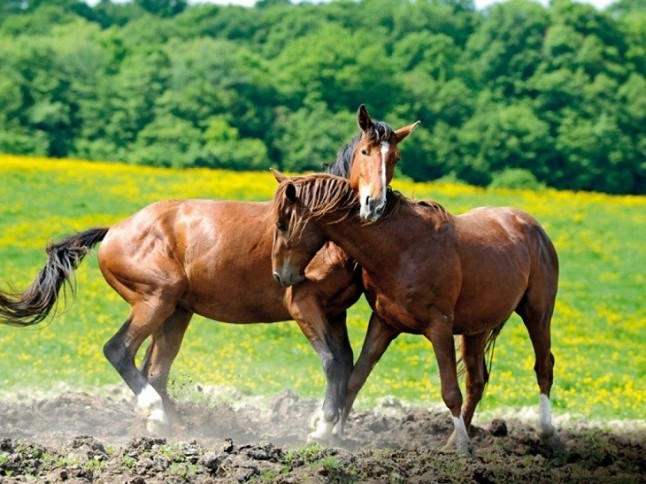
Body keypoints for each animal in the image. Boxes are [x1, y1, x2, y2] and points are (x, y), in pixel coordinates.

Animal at [0, 105, 419, 441]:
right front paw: (321, 428)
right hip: (155, 300)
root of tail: (115, 229)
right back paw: (156, 415)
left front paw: (328, 426)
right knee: (119, 351)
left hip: (176, 313)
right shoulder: (304, 305)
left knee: (155, 371)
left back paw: (172, 428)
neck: (325, 236)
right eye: (365, 152)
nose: (375, 205)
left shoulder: (335, 312)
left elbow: (346, 364)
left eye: (395, 158)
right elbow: (331, 361)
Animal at [270, 173, 560, 454]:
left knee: (543, 366)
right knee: (476, 382)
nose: (279, 275)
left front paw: (463, 447)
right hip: (476, 329)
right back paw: (453, 439)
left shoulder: (439, 327)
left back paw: (545, 431)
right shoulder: (383, 323)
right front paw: (335, 434)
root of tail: (532, 226)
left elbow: (450, 391)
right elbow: (356, 377)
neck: (401, 249)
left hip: (537, 314)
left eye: (282, 224)